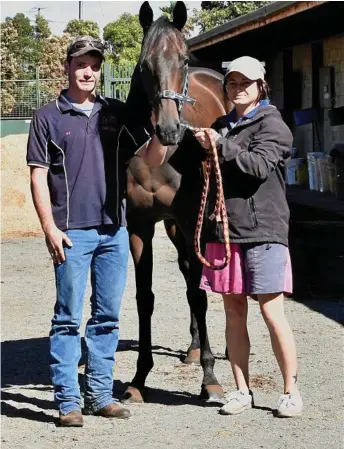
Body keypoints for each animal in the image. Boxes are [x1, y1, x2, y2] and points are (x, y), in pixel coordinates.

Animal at [122, 1, 230, 404]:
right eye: (144, 64)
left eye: (183, 59)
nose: (168, 130)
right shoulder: (141, 226)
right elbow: (145, 297)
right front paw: (139, 378)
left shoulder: (189, 218)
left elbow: (200, 295)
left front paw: (210, 379)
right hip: (173, 227)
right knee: (186, 270)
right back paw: (194, 347)